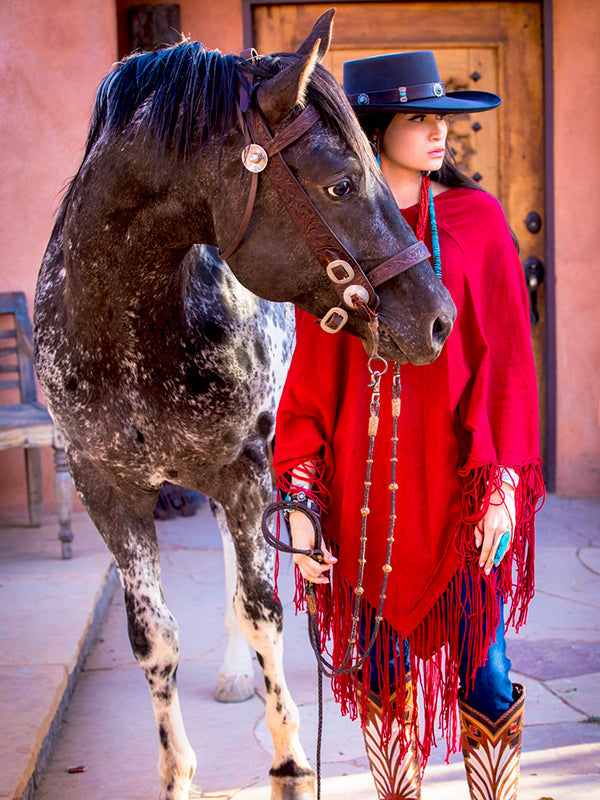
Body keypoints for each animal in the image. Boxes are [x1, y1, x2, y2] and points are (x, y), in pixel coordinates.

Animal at [32, 7, 454, 800]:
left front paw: (290, 756)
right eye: (342, 183)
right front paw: (177, 773)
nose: (440, 318)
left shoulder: (246, 472)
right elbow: (153, 638)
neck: (123, 329)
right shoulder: (108, 491)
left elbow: (262, 614)